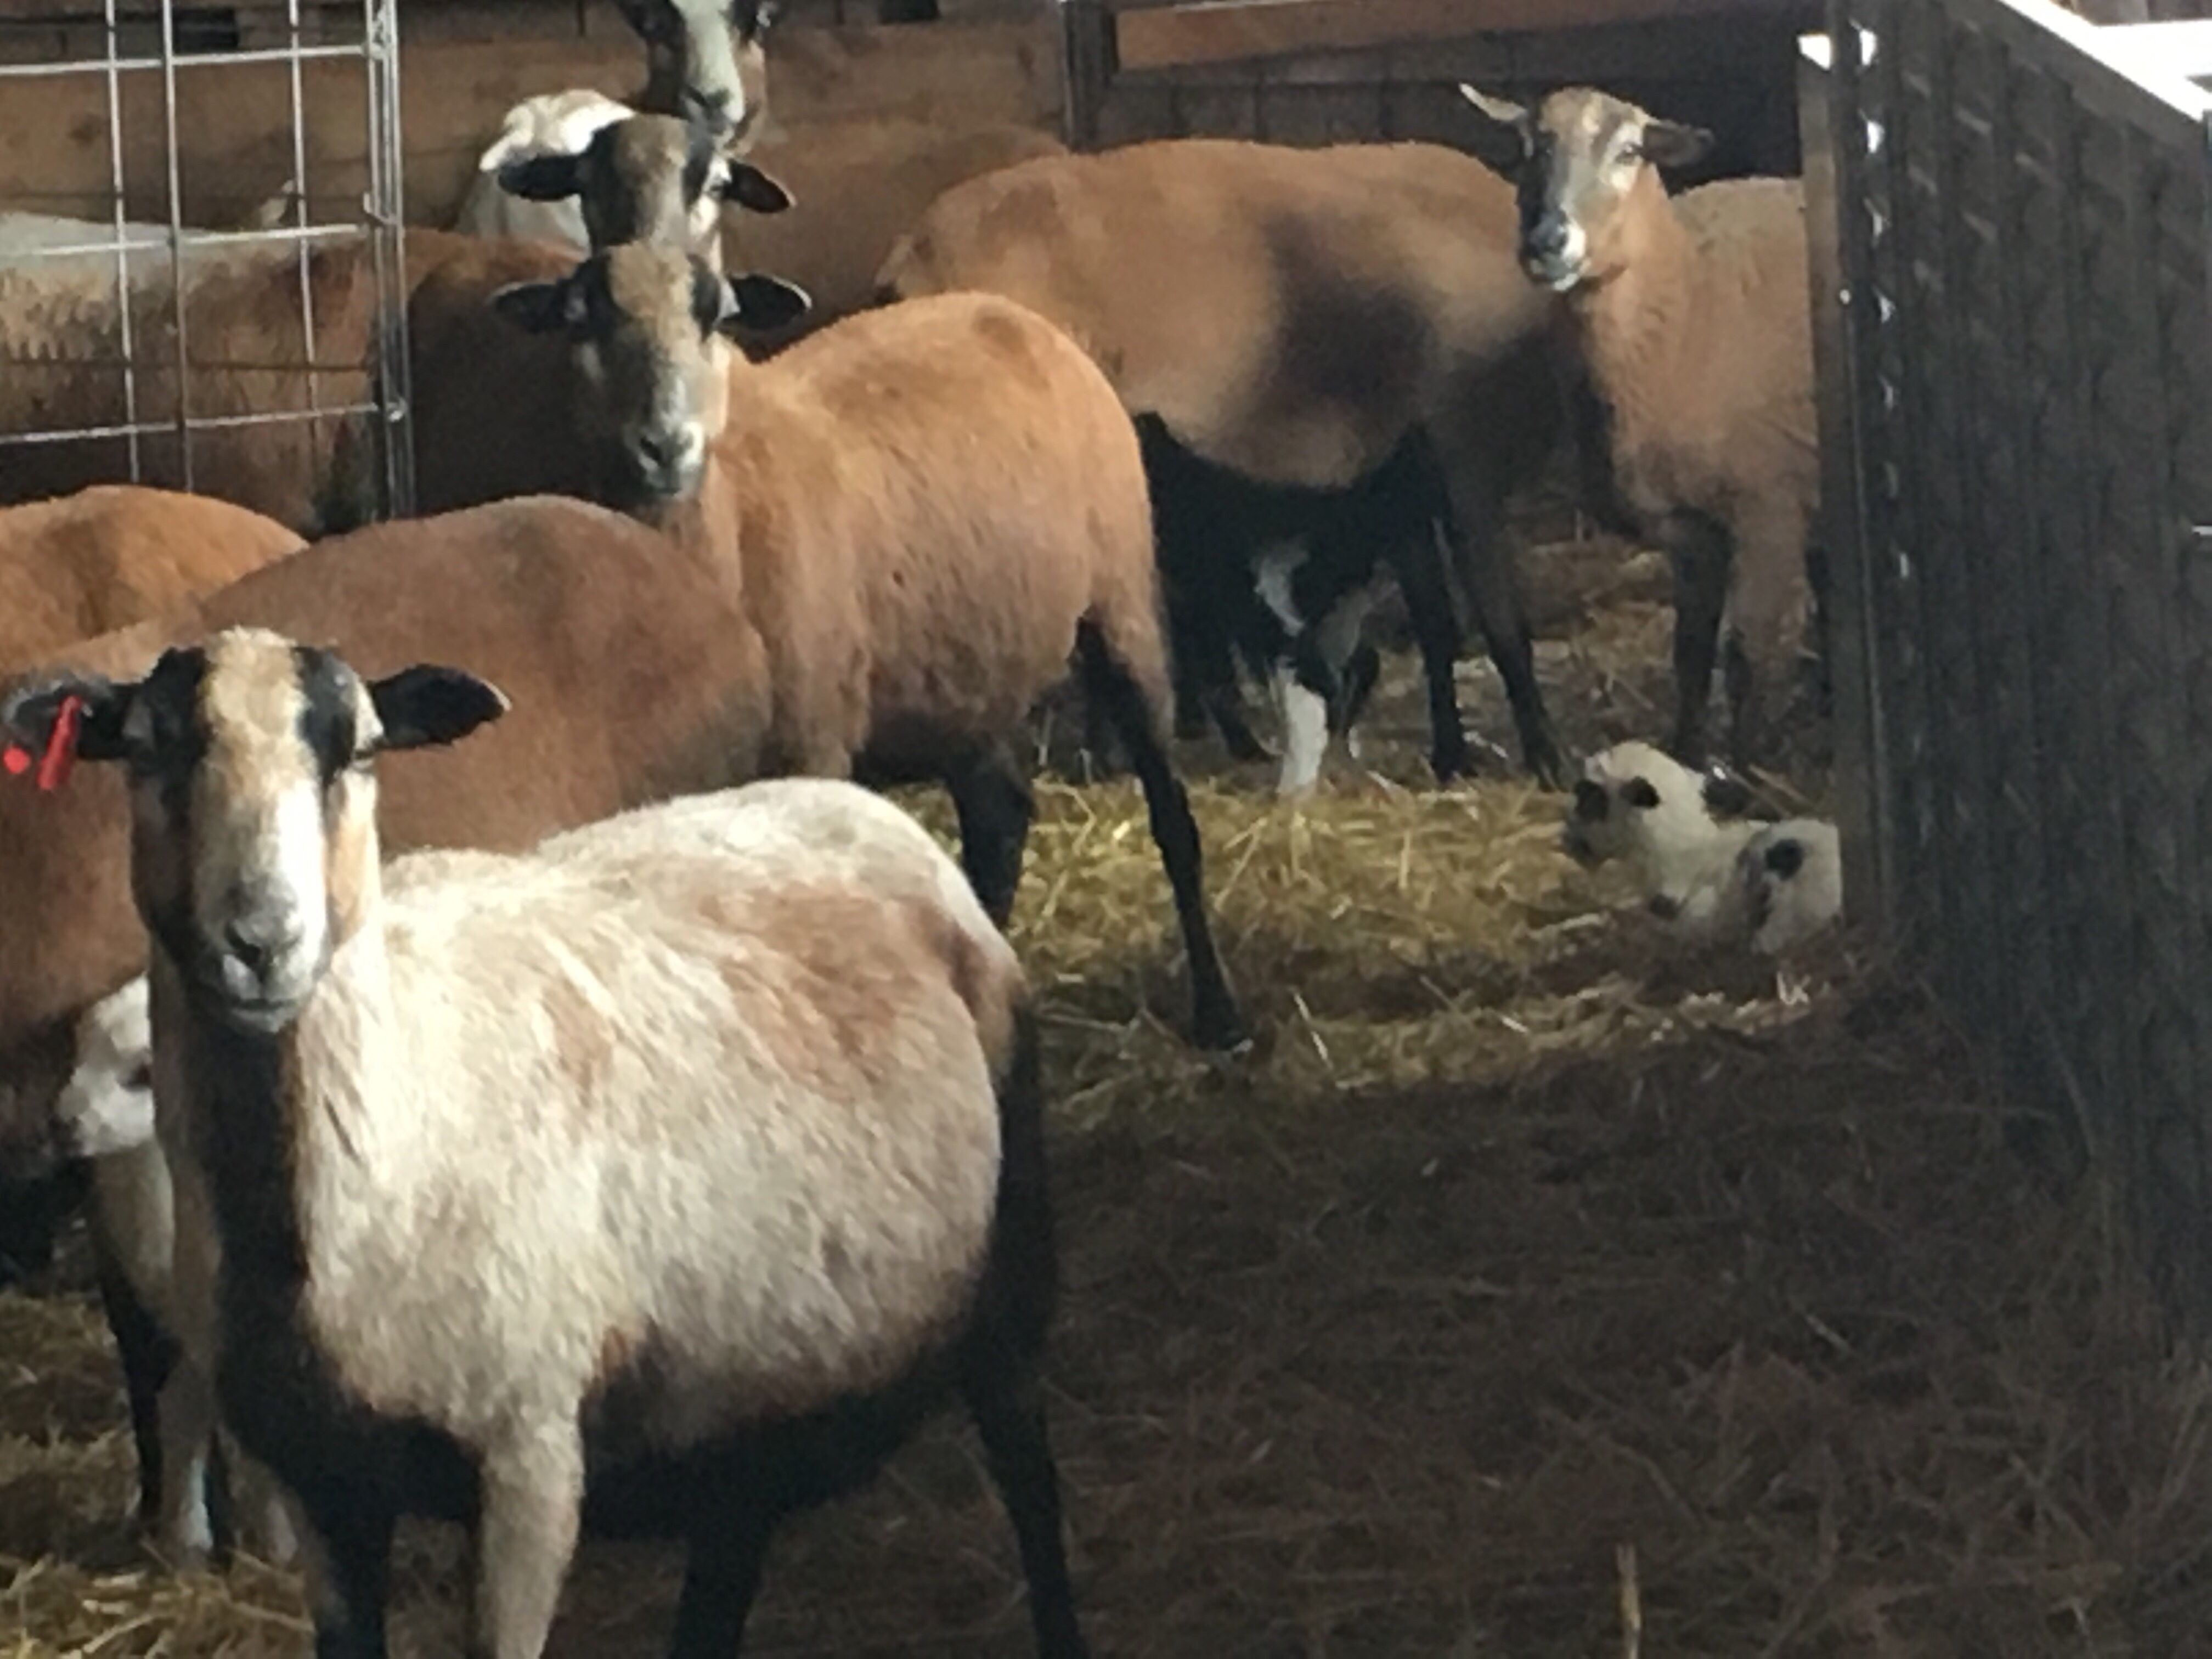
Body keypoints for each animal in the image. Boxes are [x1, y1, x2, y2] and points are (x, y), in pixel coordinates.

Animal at [4, 626, 1090, 1658]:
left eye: (360, 750)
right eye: (146, 749)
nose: (262, 944)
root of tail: (865, 809)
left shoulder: (528, 1460)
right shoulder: (327, 1482)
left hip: (1010, 1268)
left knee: (1032, 1481)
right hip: (745, 1366)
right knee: (731, 1544)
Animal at [491, 240, 1246, 1050]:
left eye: (718, 315)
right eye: (581, 322)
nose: (665, 446)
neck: (724, 533)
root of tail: (1009, 313)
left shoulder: (813, 748)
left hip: (1122, 604)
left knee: (1170, 816)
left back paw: (1219, 1011)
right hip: (965, 667)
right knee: (1000, 818)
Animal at [876, 137, 1579, 787]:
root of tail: (912, 258)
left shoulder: (1413, 492)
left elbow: (1437, 624)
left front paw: (1452, 755)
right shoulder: (1467, 467)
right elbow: (1500, 622)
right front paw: (1544, 758)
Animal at [1459, 84, 1817, 771]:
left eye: (1629, 152)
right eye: (1528, 147)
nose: (1549, 241)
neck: (1688, 311)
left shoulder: (1768, 511)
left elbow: (1751, 655)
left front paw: (1748, 774)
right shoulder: (1691, 531)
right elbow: (1692, 654)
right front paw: (1685, 754)